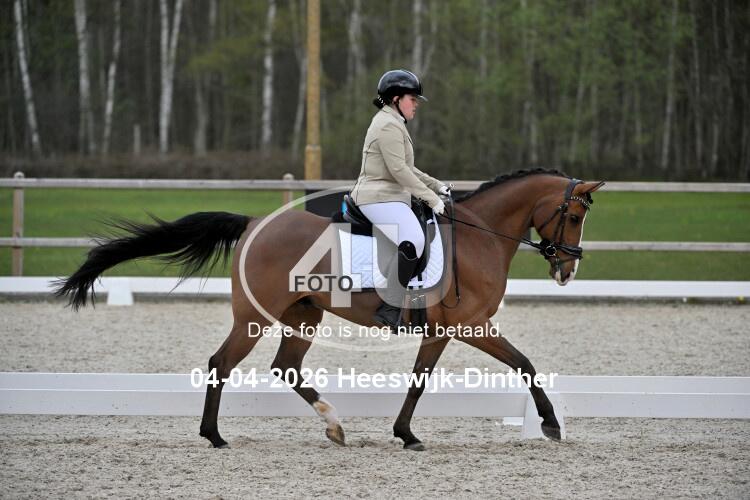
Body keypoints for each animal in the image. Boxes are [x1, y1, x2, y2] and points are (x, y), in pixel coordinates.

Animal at [55, 168, 604, 450]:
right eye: (574, 215)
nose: (568, 270)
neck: (479, 236)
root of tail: (254, 223)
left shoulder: (443, 331)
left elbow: (419, 381)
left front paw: (404, 434)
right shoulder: (472, 326)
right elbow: (525, 364)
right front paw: (551, 425)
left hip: (304, 314)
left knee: (285, 368)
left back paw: (334, 425)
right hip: (256, 317)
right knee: (221, 364)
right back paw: (214, 436)